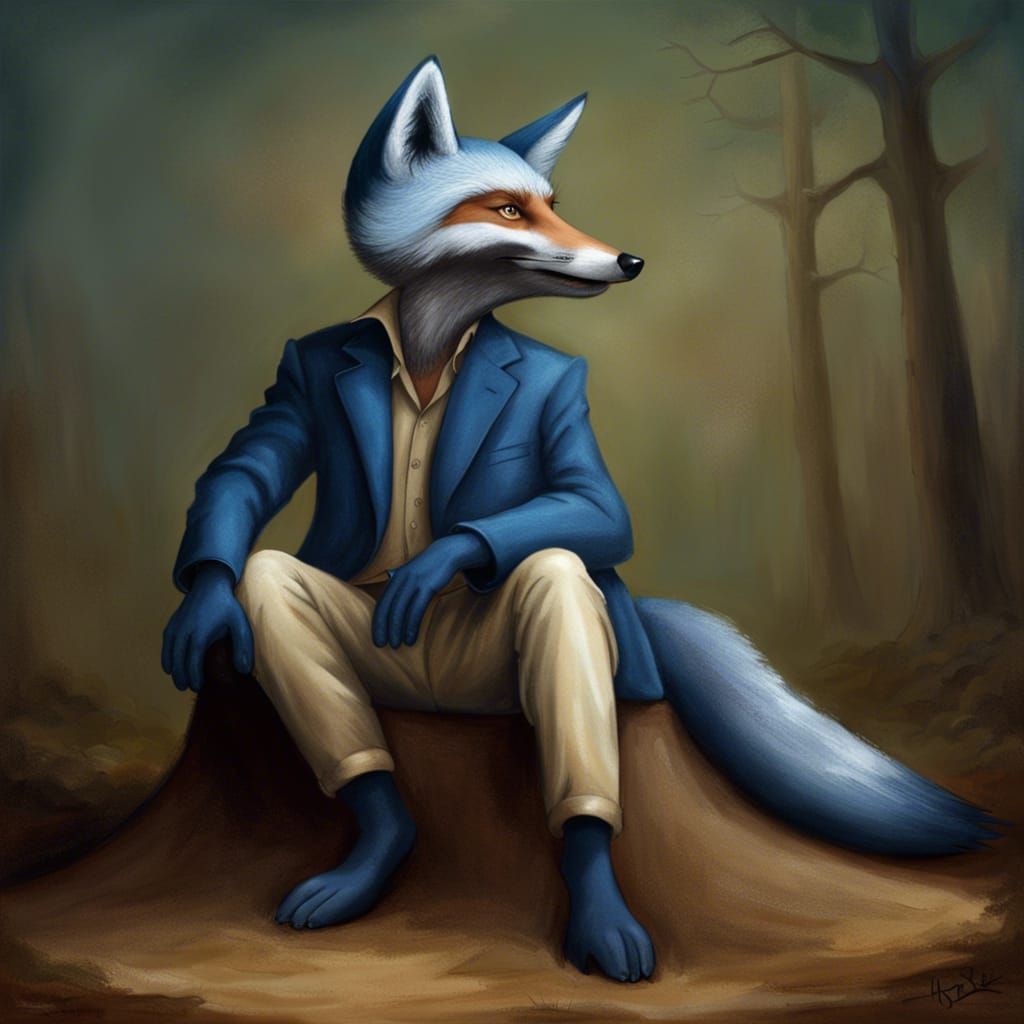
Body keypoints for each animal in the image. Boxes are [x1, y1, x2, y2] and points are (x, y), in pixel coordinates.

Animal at [164, 55, 1004, 985]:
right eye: (507, 209)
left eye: (553, 202)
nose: (631, 258)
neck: (429, 354)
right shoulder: (293, 391)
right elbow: (240, 473)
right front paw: (202, 604)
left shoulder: (574, 430)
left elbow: (586, 508)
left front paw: (432, 565)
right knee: (273, 581)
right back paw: (376, 853)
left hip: (556, 646)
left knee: (557, 573)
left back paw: (603, 922)